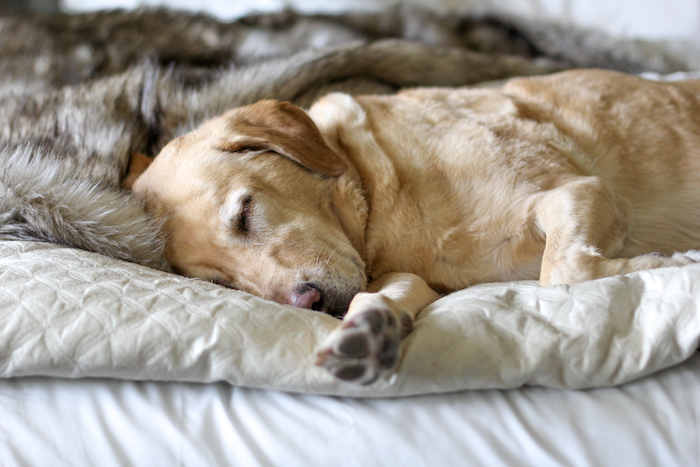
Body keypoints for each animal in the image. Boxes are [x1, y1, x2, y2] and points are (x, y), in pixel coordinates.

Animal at [130, 69, 700, 384]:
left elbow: (562, 269)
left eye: (245, 213)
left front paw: (674, 262)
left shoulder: (582, 191)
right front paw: (367, 329)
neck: (375, 187)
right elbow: (387, 292)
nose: (310, 303)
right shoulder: (410, 278)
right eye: (222, 283)